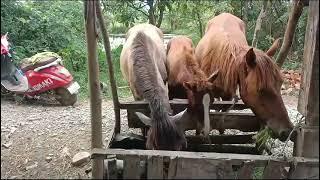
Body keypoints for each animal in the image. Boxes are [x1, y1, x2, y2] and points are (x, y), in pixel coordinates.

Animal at [194, 13, 294, 141]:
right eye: (261, 90)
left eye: (280, 83)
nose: (287, 132)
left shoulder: (228, 95)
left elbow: (223, 112)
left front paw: (221, 130)